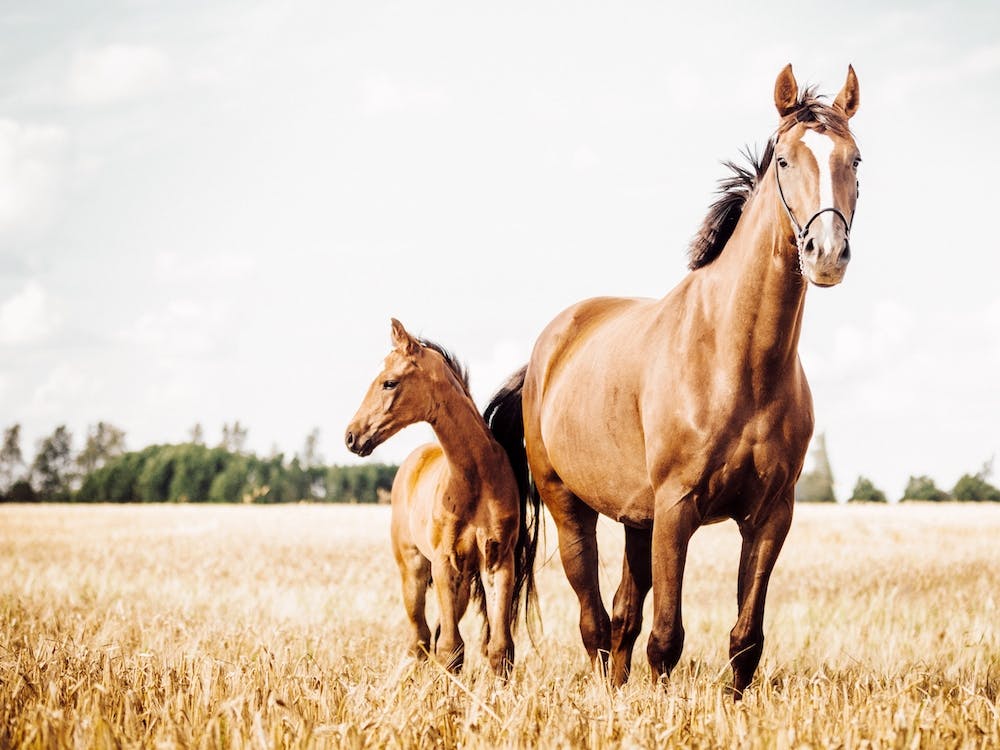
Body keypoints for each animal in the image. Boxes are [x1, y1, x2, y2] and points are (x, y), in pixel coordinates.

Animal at [345, 318, 540, 676]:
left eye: (389, 383)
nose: (351, 436)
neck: (474, 479)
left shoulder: (497, 562)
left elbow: (499, 648)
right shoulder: (445, 563)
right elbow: (451, 649)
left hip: (459, 584)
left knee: (431, 635)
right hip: (414, 570)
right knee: (420, 638)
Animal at [486, 64, 861, 697]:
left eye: (855, 160)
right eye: (785, 160)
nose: (826, 253)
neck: (736, 361)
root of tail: (543, 355)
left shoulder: (771, 516)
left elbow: (744, 639)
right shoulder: (678, 508)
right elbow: (666, 638)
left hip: (638, 518)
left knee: (621, 616)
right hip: (572, 508)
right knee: (594, 619)